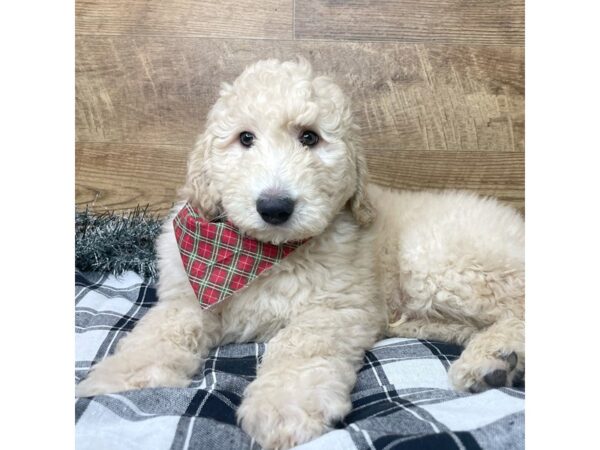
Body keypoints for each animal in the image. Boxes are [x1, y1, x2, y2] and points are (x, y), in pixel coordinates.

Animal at [76, 58, 524, 448]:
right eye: (245, 138)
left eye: (309, 137)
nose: (275, 207)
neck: (259, 254)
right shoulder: (186, 298)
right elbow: (158, 331)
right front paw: (121, 378)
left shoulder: (333, 308)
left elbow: (299, 347)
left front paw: (284, 405)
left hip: (444, 264)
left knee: (519, 308)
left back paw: (493, 360)